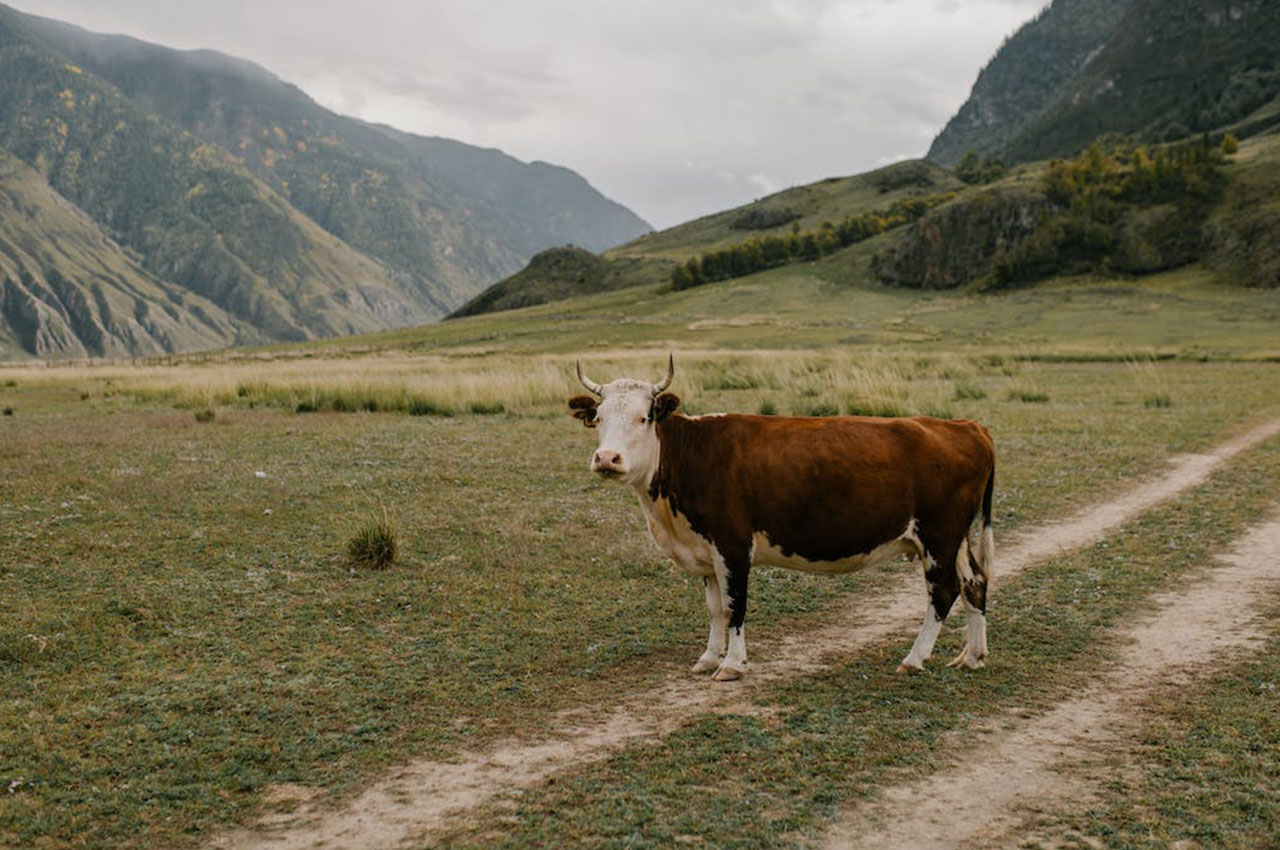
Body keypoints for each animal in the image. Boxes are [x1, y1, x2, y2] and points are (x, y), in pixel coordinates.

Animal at [565, 355, 993, 681]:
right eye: (598, 418)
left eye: (644, 418)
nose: (607, 458)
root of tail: (963, 425)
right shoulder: (704, 551)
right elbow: (714, 607)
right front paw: (708, 658)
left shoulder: (733, 546)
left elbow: (735, 605)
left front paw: (732, 665)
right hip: (954, 538)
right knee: (974, 582)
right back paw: (971, 656)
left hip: (938, 535)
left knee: (943, 592)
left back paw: (914, 658)